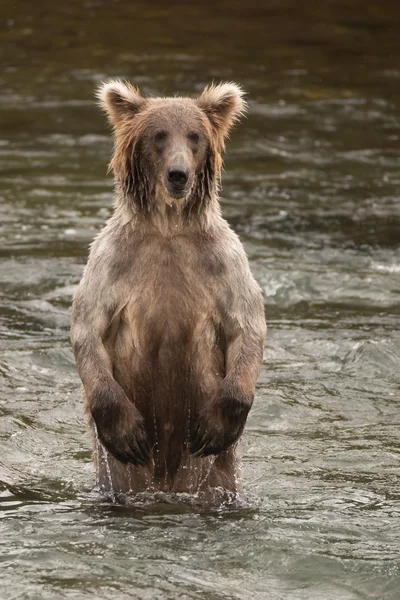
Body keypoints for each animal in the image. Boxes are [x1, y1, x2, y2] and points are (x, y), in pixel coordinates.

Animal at [70, 79, 268, 494]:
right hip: (121, 476)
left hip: (217, 472)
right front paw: (128, 434)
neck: (168, 226)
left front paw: (215, 426)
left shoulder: (222, 259)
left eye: (194, 136)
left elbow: (247, 325)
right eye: (158, 135)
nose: (179, 174)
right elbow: (87, 328)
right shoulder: (112, 260)